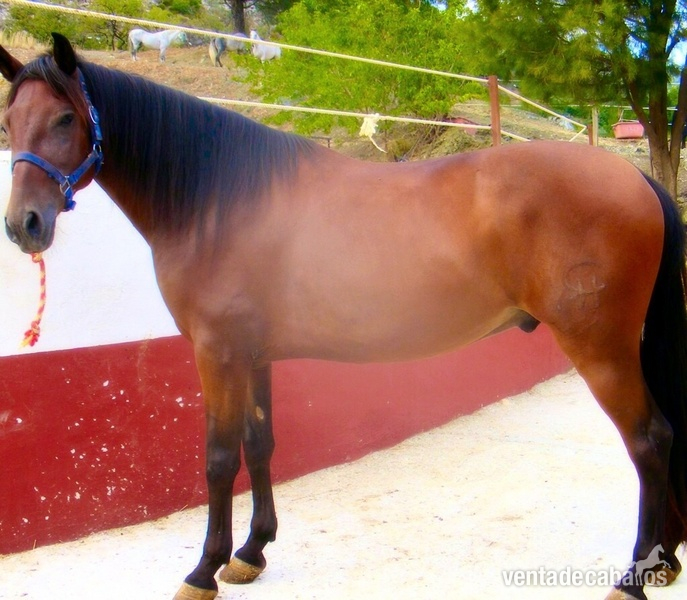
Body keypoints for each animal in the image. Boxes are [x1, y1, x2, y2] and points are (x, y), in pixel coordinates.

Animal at [2, 33, 687, 600]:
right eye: (9, 120)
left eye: (65, 117)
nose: (24, 225)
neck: (218, 200)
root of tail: (635, 178)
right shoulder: (253, 355)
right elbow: (259, 444)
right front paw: (251, 552)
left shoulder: (216, 352)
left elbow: (219, 458)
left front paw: (203, 571)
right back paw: (664, 559)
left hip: (600, 348)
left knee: (648, 440)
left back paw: (632, 579)